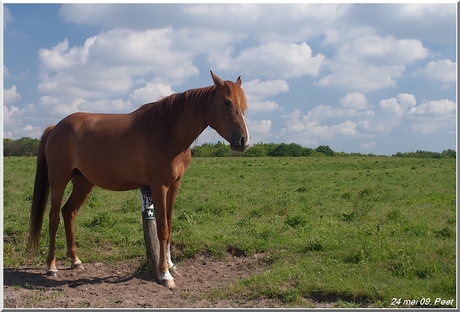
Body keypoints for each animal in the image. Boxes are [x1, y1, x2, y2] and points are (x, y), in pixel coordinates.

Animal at [27, 70, 252, 288]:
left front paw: (171, 265)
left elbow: (169, 223)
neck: (168, 131)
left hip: (83, 183)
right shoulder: (159, 187)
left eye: (244, 105)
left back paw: (75, 261)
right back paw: (52, 267)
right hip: (59, 181)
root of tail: (55, 127)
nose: (243, 141)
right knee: (54, 218)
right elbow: (162, 228)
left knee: (69, 213)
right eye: (226, 102)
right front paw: (164, 274)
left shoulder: (174, 186)